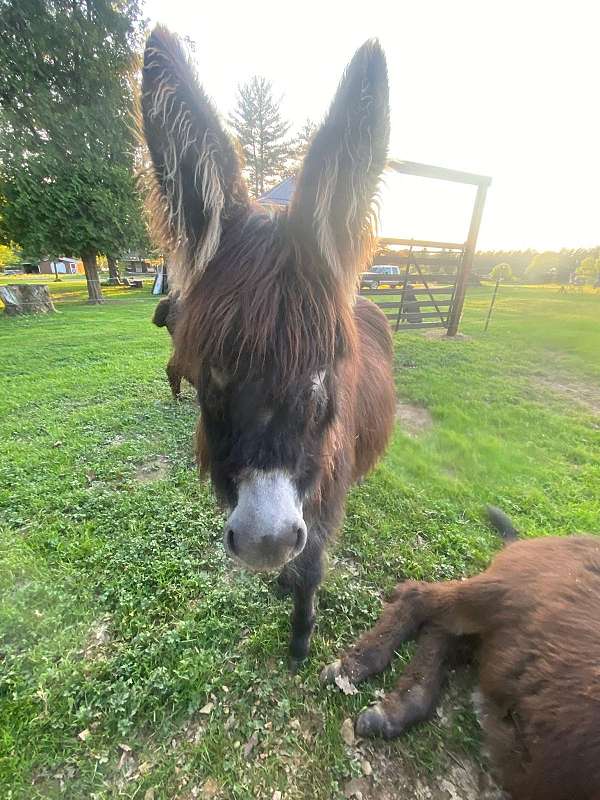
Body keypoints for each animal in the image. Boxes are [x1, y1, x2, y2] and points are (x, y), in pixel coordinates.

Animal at [141, 27, 396, 665]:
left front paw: (301, 637)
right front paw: (284, 590)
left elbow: (311, 568)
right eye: (210, 374)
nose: (265, 540)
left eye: (322, 373)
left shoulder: (321, 500)